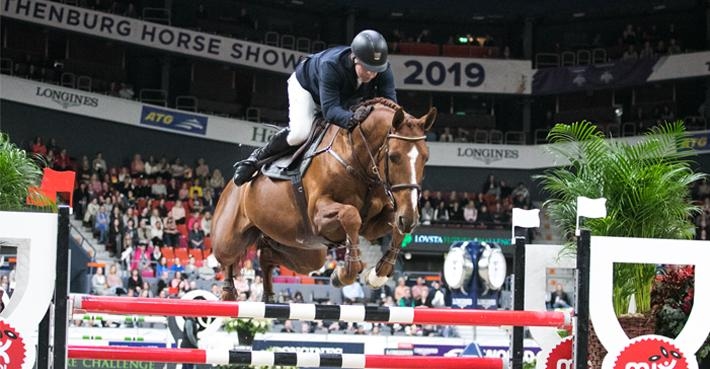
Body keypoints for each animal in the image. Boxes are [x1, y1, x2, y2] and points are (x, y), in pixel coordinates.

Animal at [211, 97, 436, 300]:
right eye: (394, 157)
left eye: (426, 158)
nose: (410, 218)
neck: (356, 157)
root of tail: (230, 186)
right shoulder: (318, 215)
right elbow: (351, 215)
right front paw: (345, 273)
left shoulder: (374, 225)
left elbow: (394, 227)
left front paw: (377, 274)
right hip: (229, 239)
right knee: (228, 258)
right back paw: (228, 293)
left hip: (306, 251)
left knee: (266, 254)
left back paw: (269, 295)